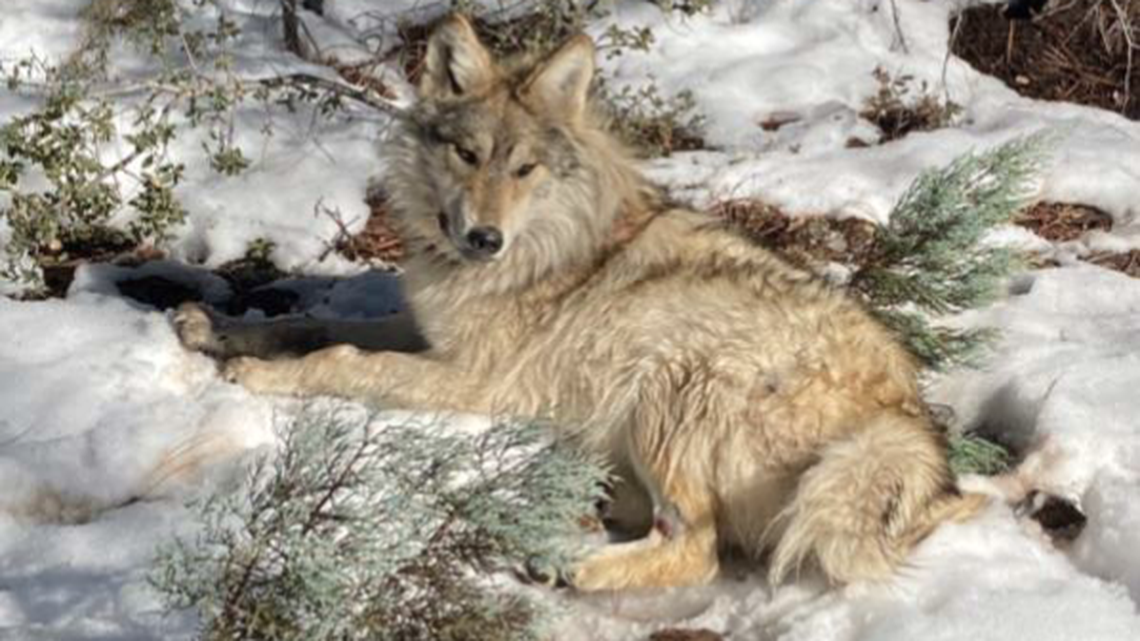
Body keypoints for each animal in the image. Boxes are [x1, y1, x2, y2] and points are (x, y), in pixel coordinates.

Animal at [175, 14, 987, 591]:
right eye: (468, 156)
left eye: (525, 169)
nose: (484, 238)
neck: (538, 244)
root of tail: (910, 430)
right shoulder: (429, 333)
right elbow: (311, 322)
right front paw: (213, 329)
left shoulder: (472, 379)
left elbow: (342, 357)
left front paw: (263, 376)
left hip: (672, 375)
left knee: (698, 547)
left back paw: (566, 562)